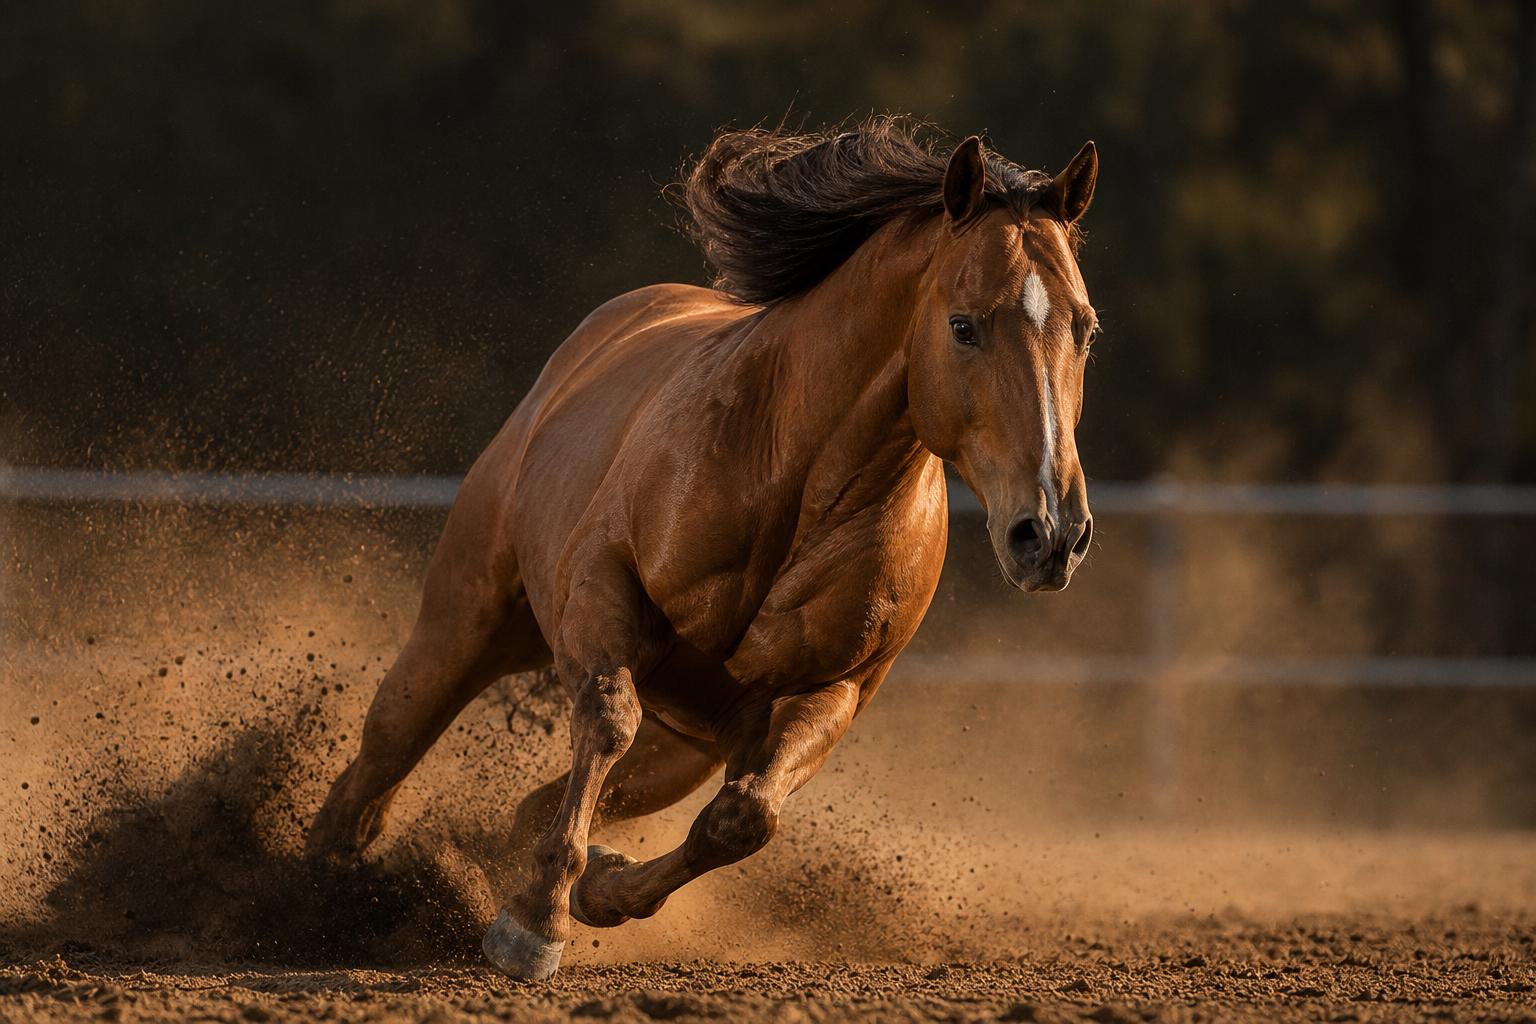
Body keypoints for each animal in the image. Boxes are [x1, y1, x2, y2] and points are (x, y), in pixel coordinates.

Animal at [307, 116, 1100, 979]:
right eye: (964, 325)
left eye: (1086, 328)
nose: (1051, 534)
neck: (793, 478)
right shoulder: (603, 586)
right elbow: (607, 717)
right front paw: (535, 923)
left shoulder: (831, 691)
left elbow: (742, 819)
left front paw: (597, 892)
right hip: (466, 626)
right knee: (380, 760)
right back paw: (317, 885)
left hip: (683, 739)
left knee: (532, 803)